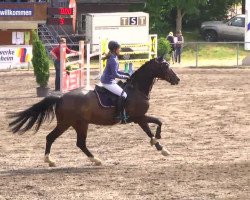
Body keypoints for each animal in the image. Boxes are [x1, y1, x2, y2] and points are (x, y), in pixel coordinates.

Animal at [8, 56, 180, 167]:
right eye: (165, 66)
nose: (177, 80)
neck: (136, 89)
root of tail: (61, 97)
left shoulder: (139, 118)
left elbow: (152, 127)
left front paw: (160, 147)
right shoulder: (138, 117)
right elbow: (156, 124)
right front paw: (159, 143)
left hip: (74, 124)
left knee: (66, 141)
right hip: (73, 123)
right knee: (67, 140)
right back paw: (89, 160)